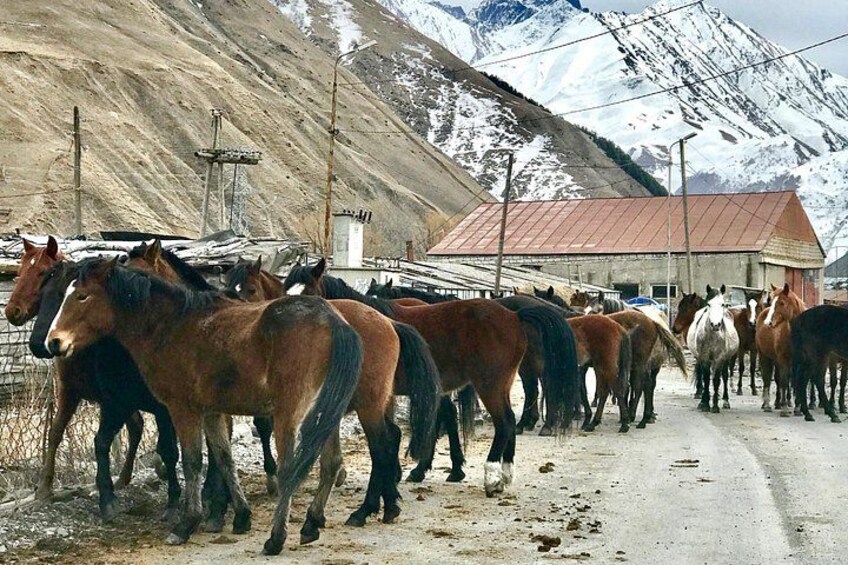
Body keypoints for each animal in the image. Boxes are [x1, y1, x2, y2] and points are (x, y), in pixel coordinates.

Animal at [12, 241, 179, 523]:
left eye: (41, 274)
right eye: (19, 272)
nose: (11, 311)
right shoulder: (75, 391)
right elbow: (57, 432)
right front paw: (44, 489)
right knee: (137, 426)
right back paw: (124, 478)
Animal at [44, 257, 364, 555]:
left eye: (82, 295)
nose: (53, 342)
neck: (171, 325)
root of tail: (334, 322)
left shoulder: (183, 410)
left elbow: (192, 461)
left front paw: (187, 524)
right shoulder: (212, 412)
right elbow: (224, 459)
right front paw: (241, 517)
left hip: (290, 415)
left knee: (289, 469)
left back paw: (276, 538)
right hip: (325, 415)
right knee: (330, 463)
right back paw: (310, 524)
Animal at [284, 259, 579, 497]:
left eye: (308, 293)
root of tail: (515, 316)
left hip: (491, 385)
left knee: (504, 422)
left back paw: (492, 477)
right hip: (502, 383)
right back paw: (505, 474)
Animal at [687, 285, 739, 413]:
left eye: (723, 304)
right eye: (709, 304)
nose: (716, 325)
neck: (712, 336)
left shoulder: (719, 359)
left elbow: (716, 380)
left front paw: (715, 406)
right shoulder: (704, 358)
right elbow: (706, 379)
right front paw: (705, 404)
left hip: (726, 359)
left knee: (724, 377)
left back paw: (725, 401)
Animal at [757, 283, 805, 416]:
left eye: (782, 303)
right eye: (772, 300)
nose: (768, 322)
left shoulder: (800, 363)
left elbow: (797, 383)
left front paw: (798, 408)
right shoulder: (784, 360)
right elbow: (784, 382)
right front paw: (784, 408)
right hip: (764, 357)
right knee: (767, 379)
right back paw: (767, 405)